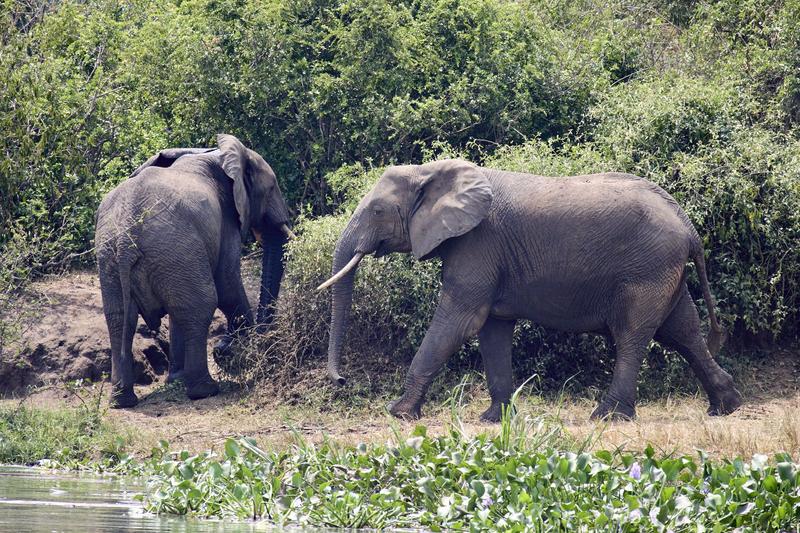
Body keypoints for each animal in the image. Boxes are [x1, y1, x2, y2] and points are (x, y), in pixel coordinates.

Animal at [95, 134, 292, 408]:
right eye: (272, 187)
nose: (222, 348)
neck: (213, 154)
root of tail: (126, 237)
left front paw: (176, 380)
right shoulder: (225, 220)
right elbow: (227, 284)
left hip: (115, 256)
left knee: (119, 317)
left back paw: (122, 401)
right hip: (171, 244)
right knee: (201, 304)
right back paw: (205, 390)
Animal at [318, 157, 744, 420]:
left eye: (377, 211)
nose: (342, 381)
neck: (432, 171)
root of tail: (687, 224)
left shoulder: (478, 245)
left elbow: (460, 322)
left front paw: (399, 413)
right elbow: (491, 330)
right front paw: (494, 419)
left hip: (647, 270)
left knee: (633, 335)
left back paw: (606, 417)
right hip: (664, 270)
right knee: (683, 330)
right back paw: (725, 406)